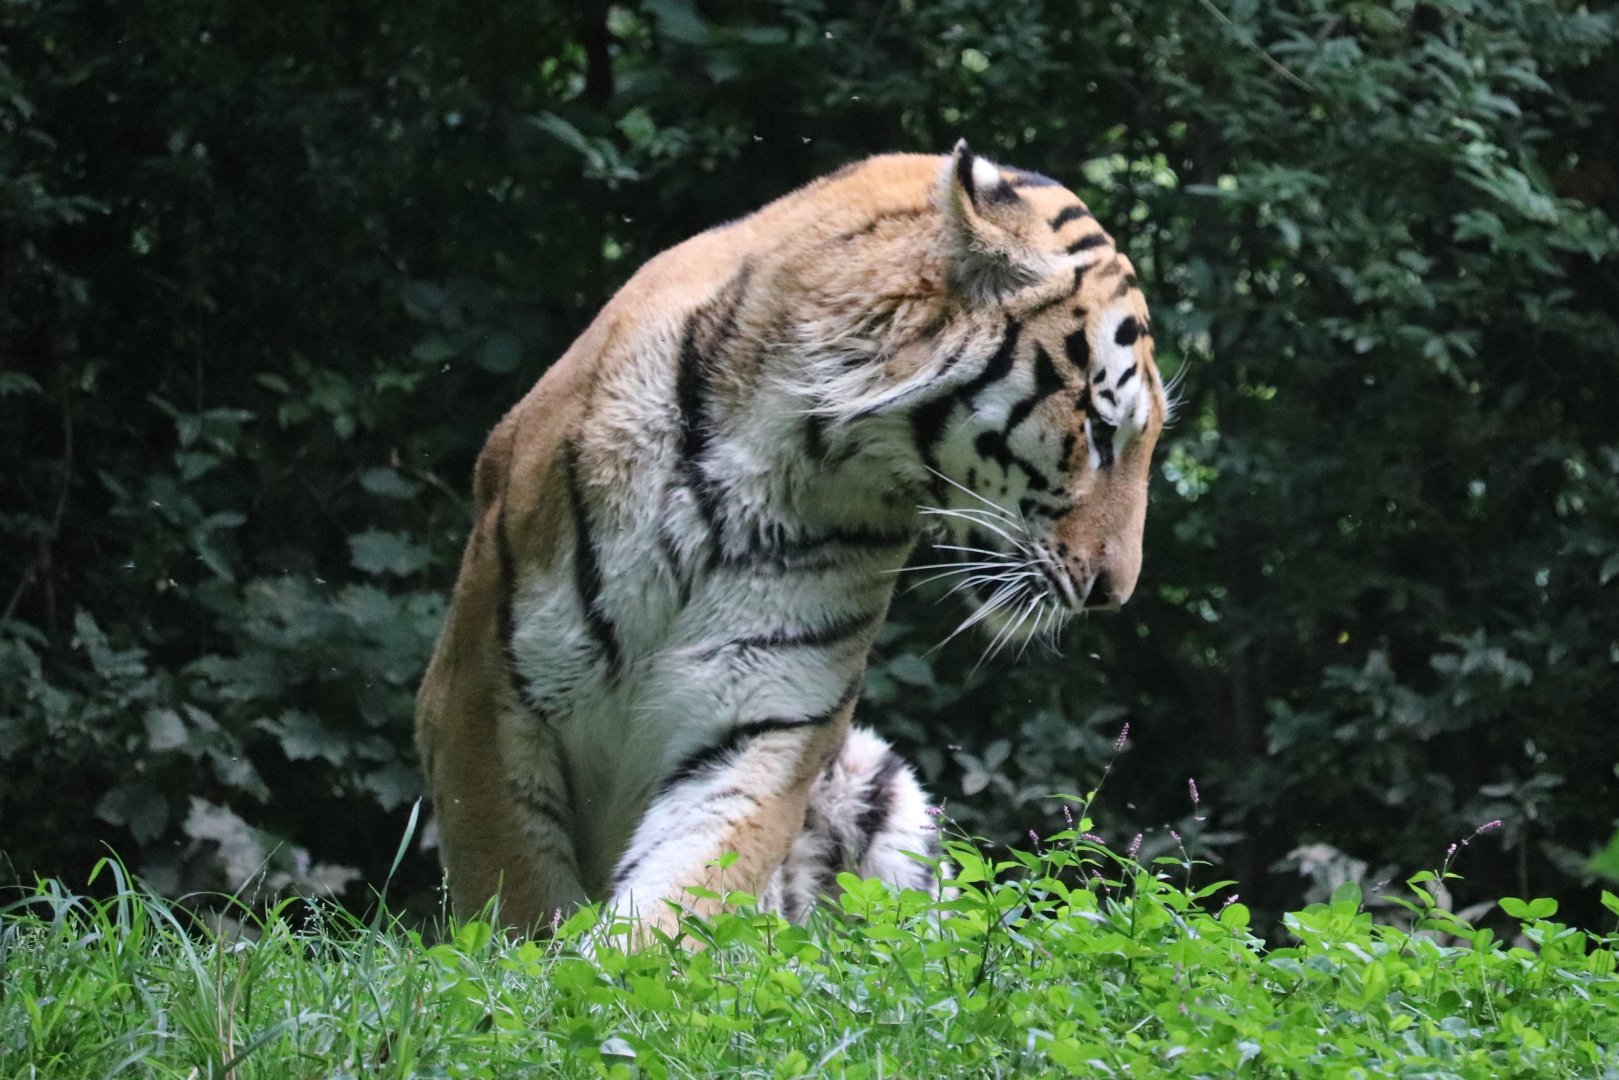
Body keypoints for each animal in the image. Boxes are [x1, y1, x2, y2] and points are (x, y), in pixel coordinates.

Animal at [414, 141, 1166, 943]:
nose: (1113, 593)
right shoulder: (482, 695)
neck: (787, 453)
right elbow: (512, 895)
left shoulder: (766, 715)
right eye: (1099, 429)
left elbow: (676, 900)